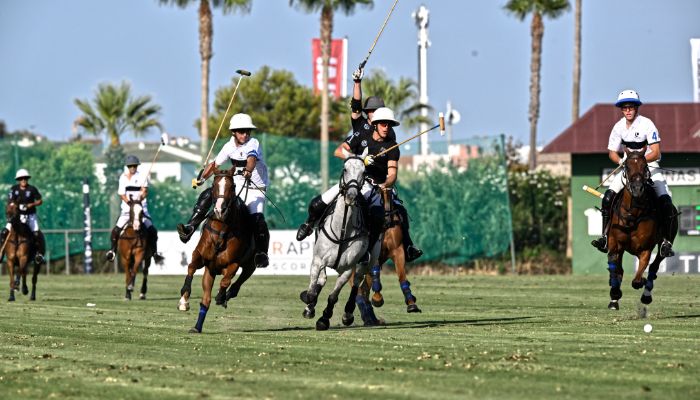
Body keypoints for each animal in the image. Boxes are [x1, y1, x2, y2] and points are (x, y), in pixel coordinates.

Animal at [178, 170, 258, 334]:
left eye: (232, 186)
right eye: (214, 185)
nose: (219, 210)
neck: (222, 230)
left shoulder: (233, 263)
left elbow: (225, 281)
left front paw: (221, 296)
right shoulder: (202, 258)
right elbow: (191, 268)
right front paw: (184, 300)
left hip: (250, 265)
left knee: (238, 282)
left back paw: (227, 295)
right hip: (210, 271)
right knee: (206, 299)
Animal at [298, 156, 380, 332]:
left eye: (364, 172)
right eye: (345, 169)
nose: (351, 196)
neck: (342, 229)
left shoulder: (347, 269)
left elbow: (333, 296)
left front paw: (324, 319)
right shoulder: (317, 260)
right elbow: (311, 291)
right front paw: (309, 306)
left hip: (368, 261)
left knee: (357, 283)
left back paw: (348, 314)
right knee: (322, 280)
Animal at [608, 149, 680, 310]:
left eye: (645, 166)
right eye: (627, 167)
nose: (637, 188)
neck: (633, 214)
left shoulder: (645, 249)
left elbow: (637, 279)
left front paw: (641, 281)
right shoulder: (615, 245)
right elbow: (616, 269)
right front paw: (614, 295)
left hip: (664, 244)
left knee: (654, 266)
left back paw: (646, 294)